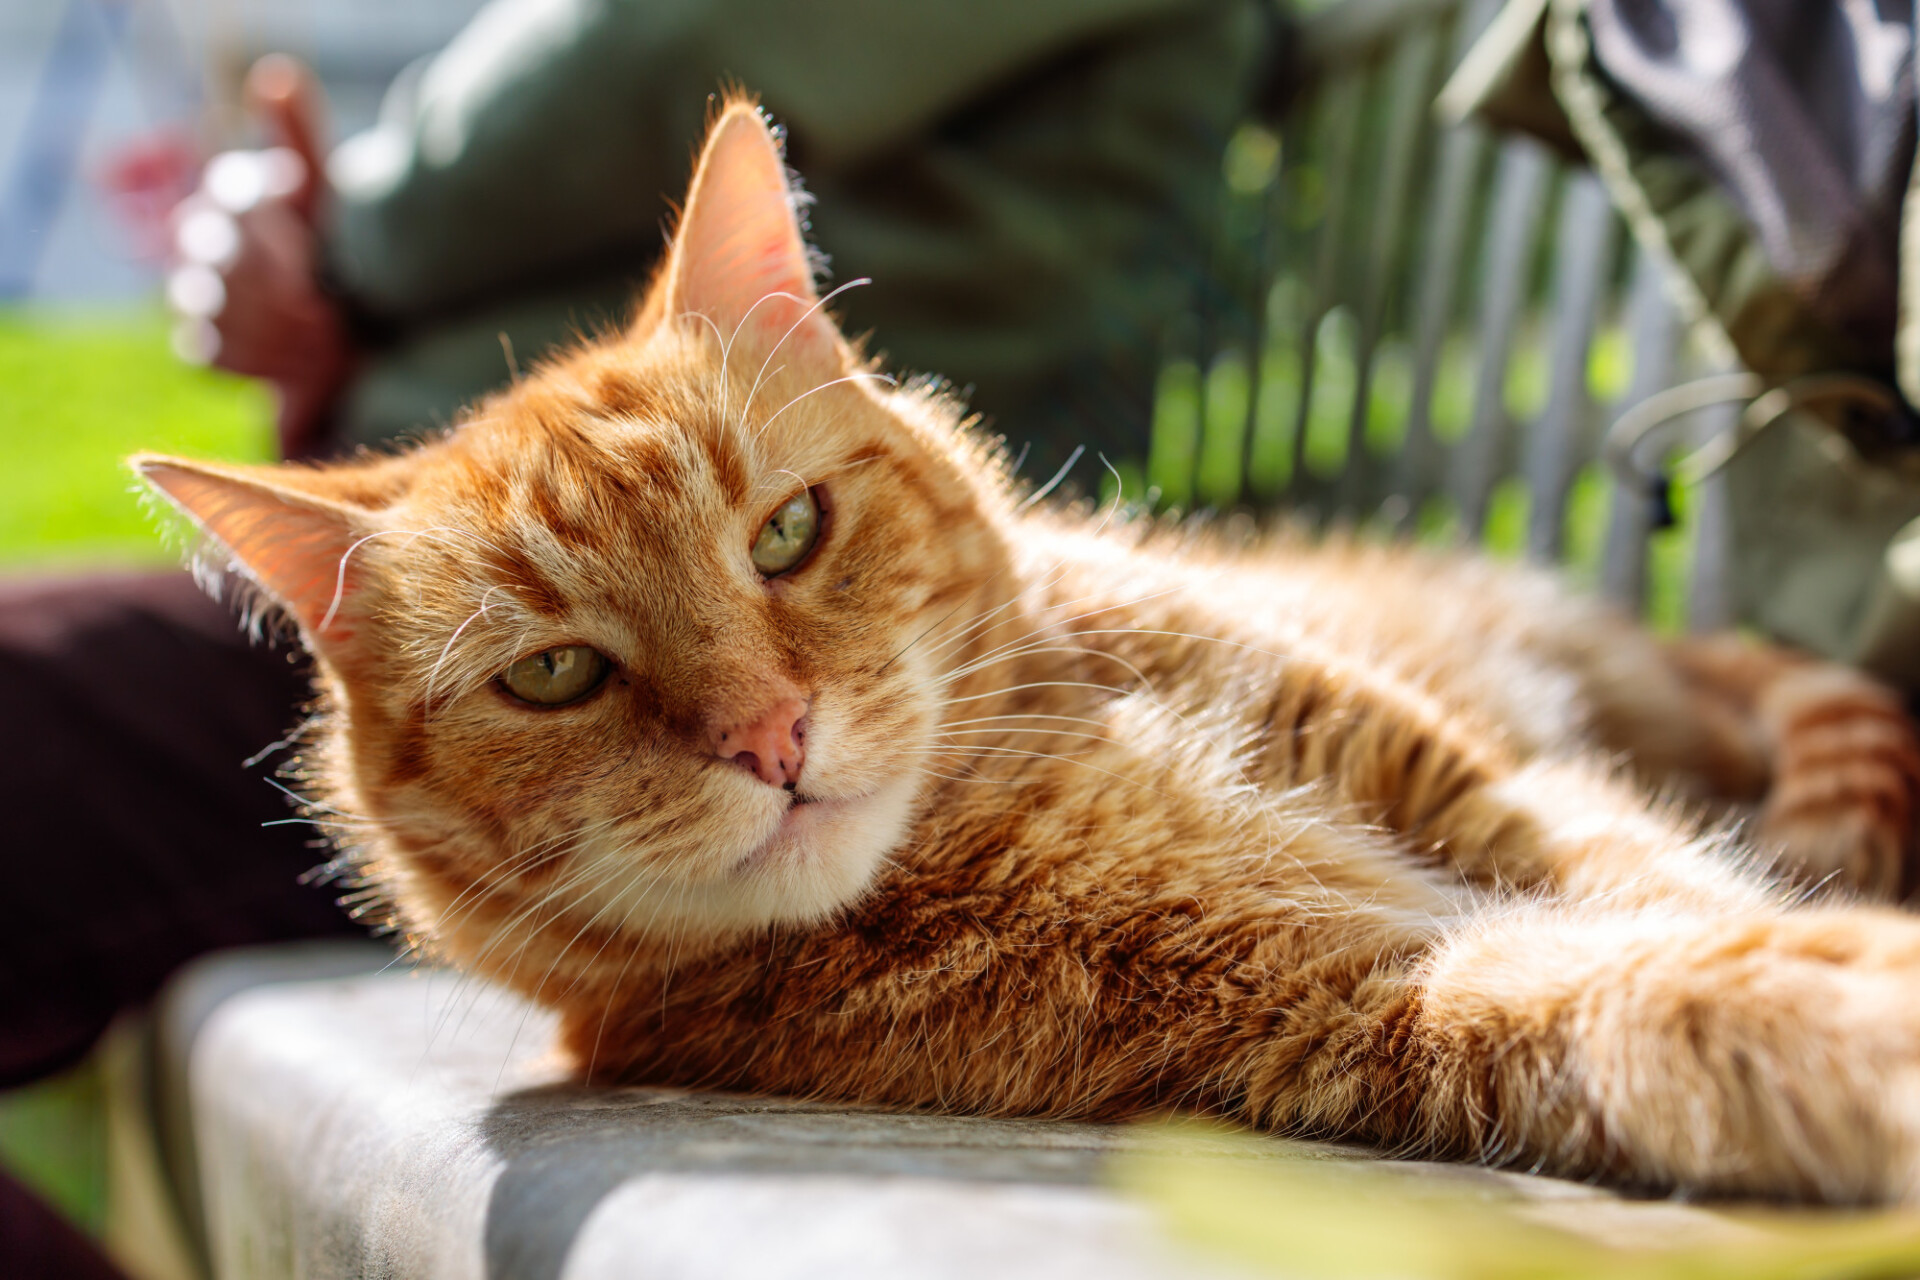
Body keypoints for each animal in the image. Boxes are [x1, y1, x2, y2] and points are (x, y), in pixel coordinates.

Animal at [139, 100, 1920, 1205]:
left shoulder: (1465, 789)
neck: (1019, 793)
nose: (772, 735)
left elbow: (1651, 882)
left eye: (786, 534)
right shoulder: (1351, 995)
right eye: (556, 677)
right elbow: (1649, 994)